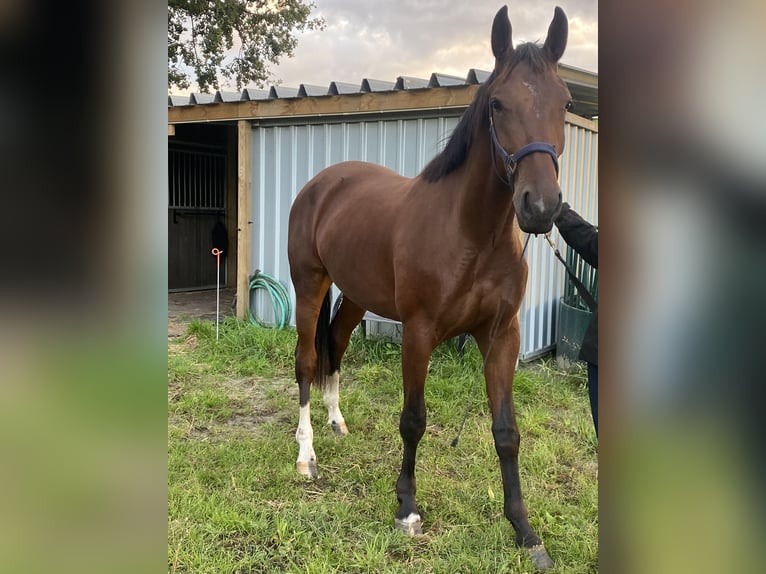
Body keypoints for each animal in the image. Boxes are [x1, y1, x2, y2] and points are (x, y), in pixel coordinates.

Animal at [286, 4, 568, 572]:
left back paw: (336, 421)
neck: (471, 233)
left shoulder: (502, 337)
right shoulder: (418, 334)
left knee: (336, 347)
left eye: (566, 103)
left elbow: (507, 433)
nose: (541, 206)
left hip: (355, 296)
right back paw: (307, 457)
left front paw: (525, 531)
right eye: (498, 102)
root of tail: (322, 184)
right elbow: (413, 420)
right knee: (307, 361)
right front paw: (406, 509)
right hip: (309, 286)